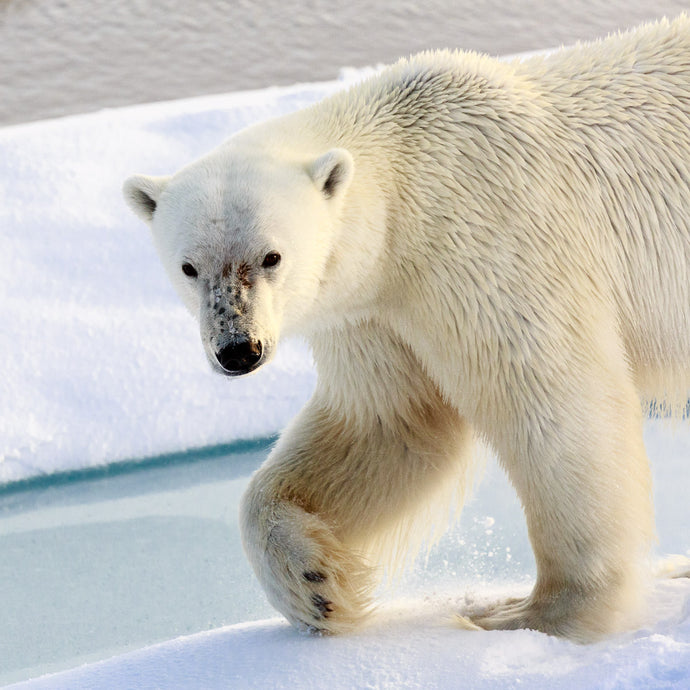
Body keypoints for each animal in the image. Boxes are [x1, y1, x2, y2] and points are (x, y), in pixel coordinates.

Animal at [123, 15, 690, 642]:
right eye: (189, 267)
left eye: (271, 256)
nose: (238, 349)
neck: (410, 176)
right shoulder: (373, 309)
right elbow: (389, 424)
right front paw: (316, 584)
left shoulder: (491, 240)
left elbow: (553, 399)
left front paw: (532, 614)